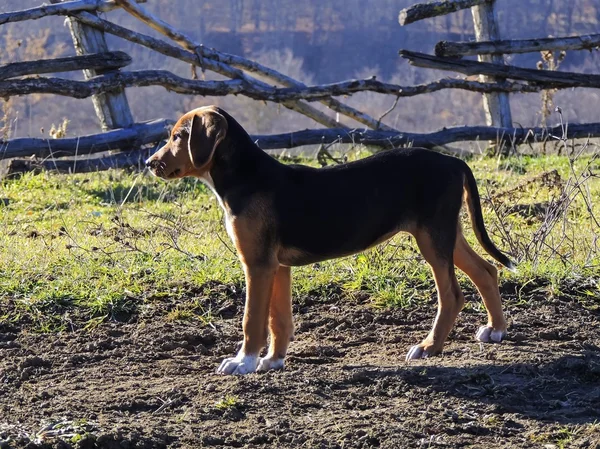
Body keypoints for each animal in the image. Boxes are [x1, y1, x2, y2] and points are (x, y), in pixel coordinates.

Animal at [146, 105, 516, 374]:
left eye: (179, 136)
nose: (150, 163)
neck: (246, 177)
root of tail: (453, 161)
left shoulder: (257, 264)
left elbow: (252, 320)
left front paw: (244, 362)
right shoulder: (277, 267)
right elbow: (278, 320)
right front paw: (273, 361)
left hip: (432, 238)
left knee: (452, 294)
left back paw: (428, 347)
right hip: (445, 234)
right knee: (486, 271)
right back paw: (496, 329)